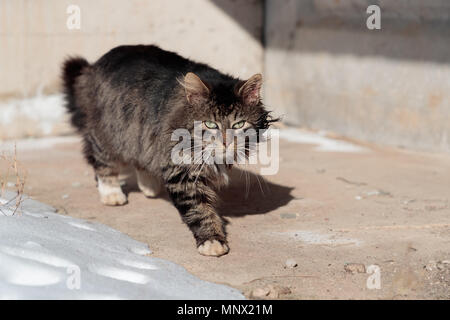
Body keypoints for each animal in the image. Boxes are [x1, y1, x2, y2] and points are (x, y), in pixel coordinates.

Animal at [62, 45, 276, 256]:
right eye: (210, 124)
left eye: (239, 124)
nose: (226, 142)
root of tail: (96, 64)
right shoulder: (182, 172)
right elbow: (199, 210)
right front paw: (212, 240)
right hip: (108, 133)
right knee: (101, 161)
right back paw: (112, 194)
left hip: (139, 135)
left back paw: (149, 186)